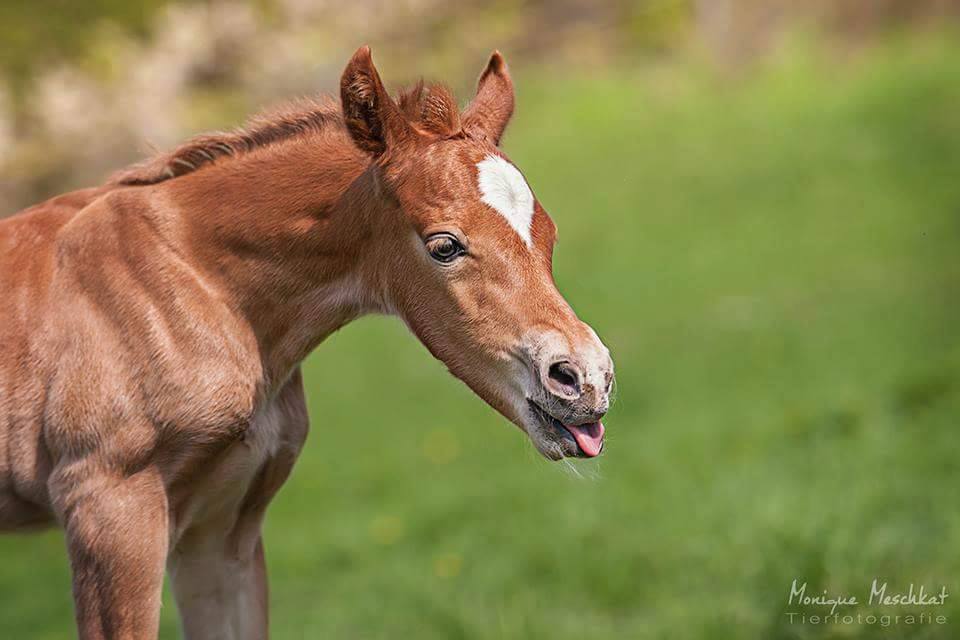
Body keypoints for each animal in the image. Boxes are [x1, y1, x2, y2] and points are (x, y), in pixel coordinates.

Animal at [0, 50, 616, 640]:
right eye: (444, 246)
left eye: (548, 235)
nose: (586, 377)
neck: (200, 285)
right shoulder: (106, 509)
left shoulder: (220, 530)